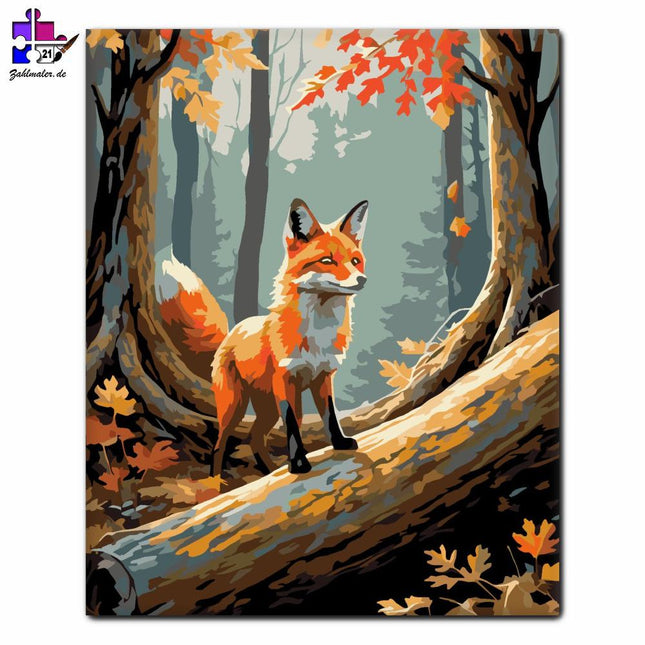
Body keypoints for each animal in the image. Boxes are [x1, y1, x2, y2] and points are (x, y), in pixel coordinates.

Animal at [158, 198, 368, 475]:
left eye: (355, 261)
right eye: (327, 260)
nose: (362, 280)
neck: (318, 333)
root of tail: (233, 331)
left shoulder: (323, 377)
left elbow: (330, 417)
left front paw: (339, 443)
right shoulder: (285, 382)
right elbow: (292, 428)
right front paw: (298, 463)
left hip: (269, 408)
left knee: (255, 438)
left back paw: (269, 470)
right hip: (235, 406)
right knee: (220, 444)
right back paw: (217, 481)